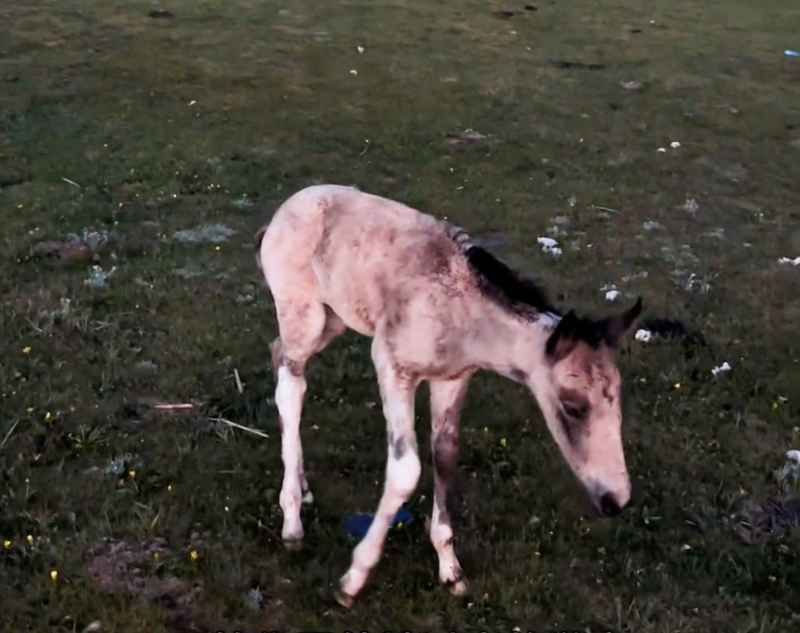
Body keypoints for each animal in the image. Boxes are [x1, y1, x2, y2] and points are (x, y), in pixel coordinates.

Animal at [256, 184, 642, 607]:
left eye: (618, 402)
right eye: (573, 407)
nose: (616, 500)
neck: (465, 321)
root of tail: (282, 211)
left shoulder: (453, 379)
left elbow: (445, 454)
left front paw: (450, 568)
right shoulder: (391, 364)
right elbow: (406, 470)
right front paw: (353, 579)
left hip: (334, 319)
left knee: (277, 353)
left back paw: (304, 488)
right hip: (302, 314)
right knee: (291, 386)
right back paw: (292, 520)